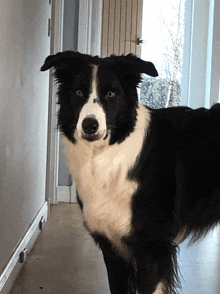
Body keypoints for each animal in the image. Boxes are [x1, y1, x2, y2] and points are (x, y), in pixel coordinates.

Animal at [41, 51, 220, 292]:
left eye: (111, 94)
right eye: (78, 92)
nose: (89, 126)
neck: (107, 156)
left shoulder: (151, 247)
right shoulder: (112, 246)